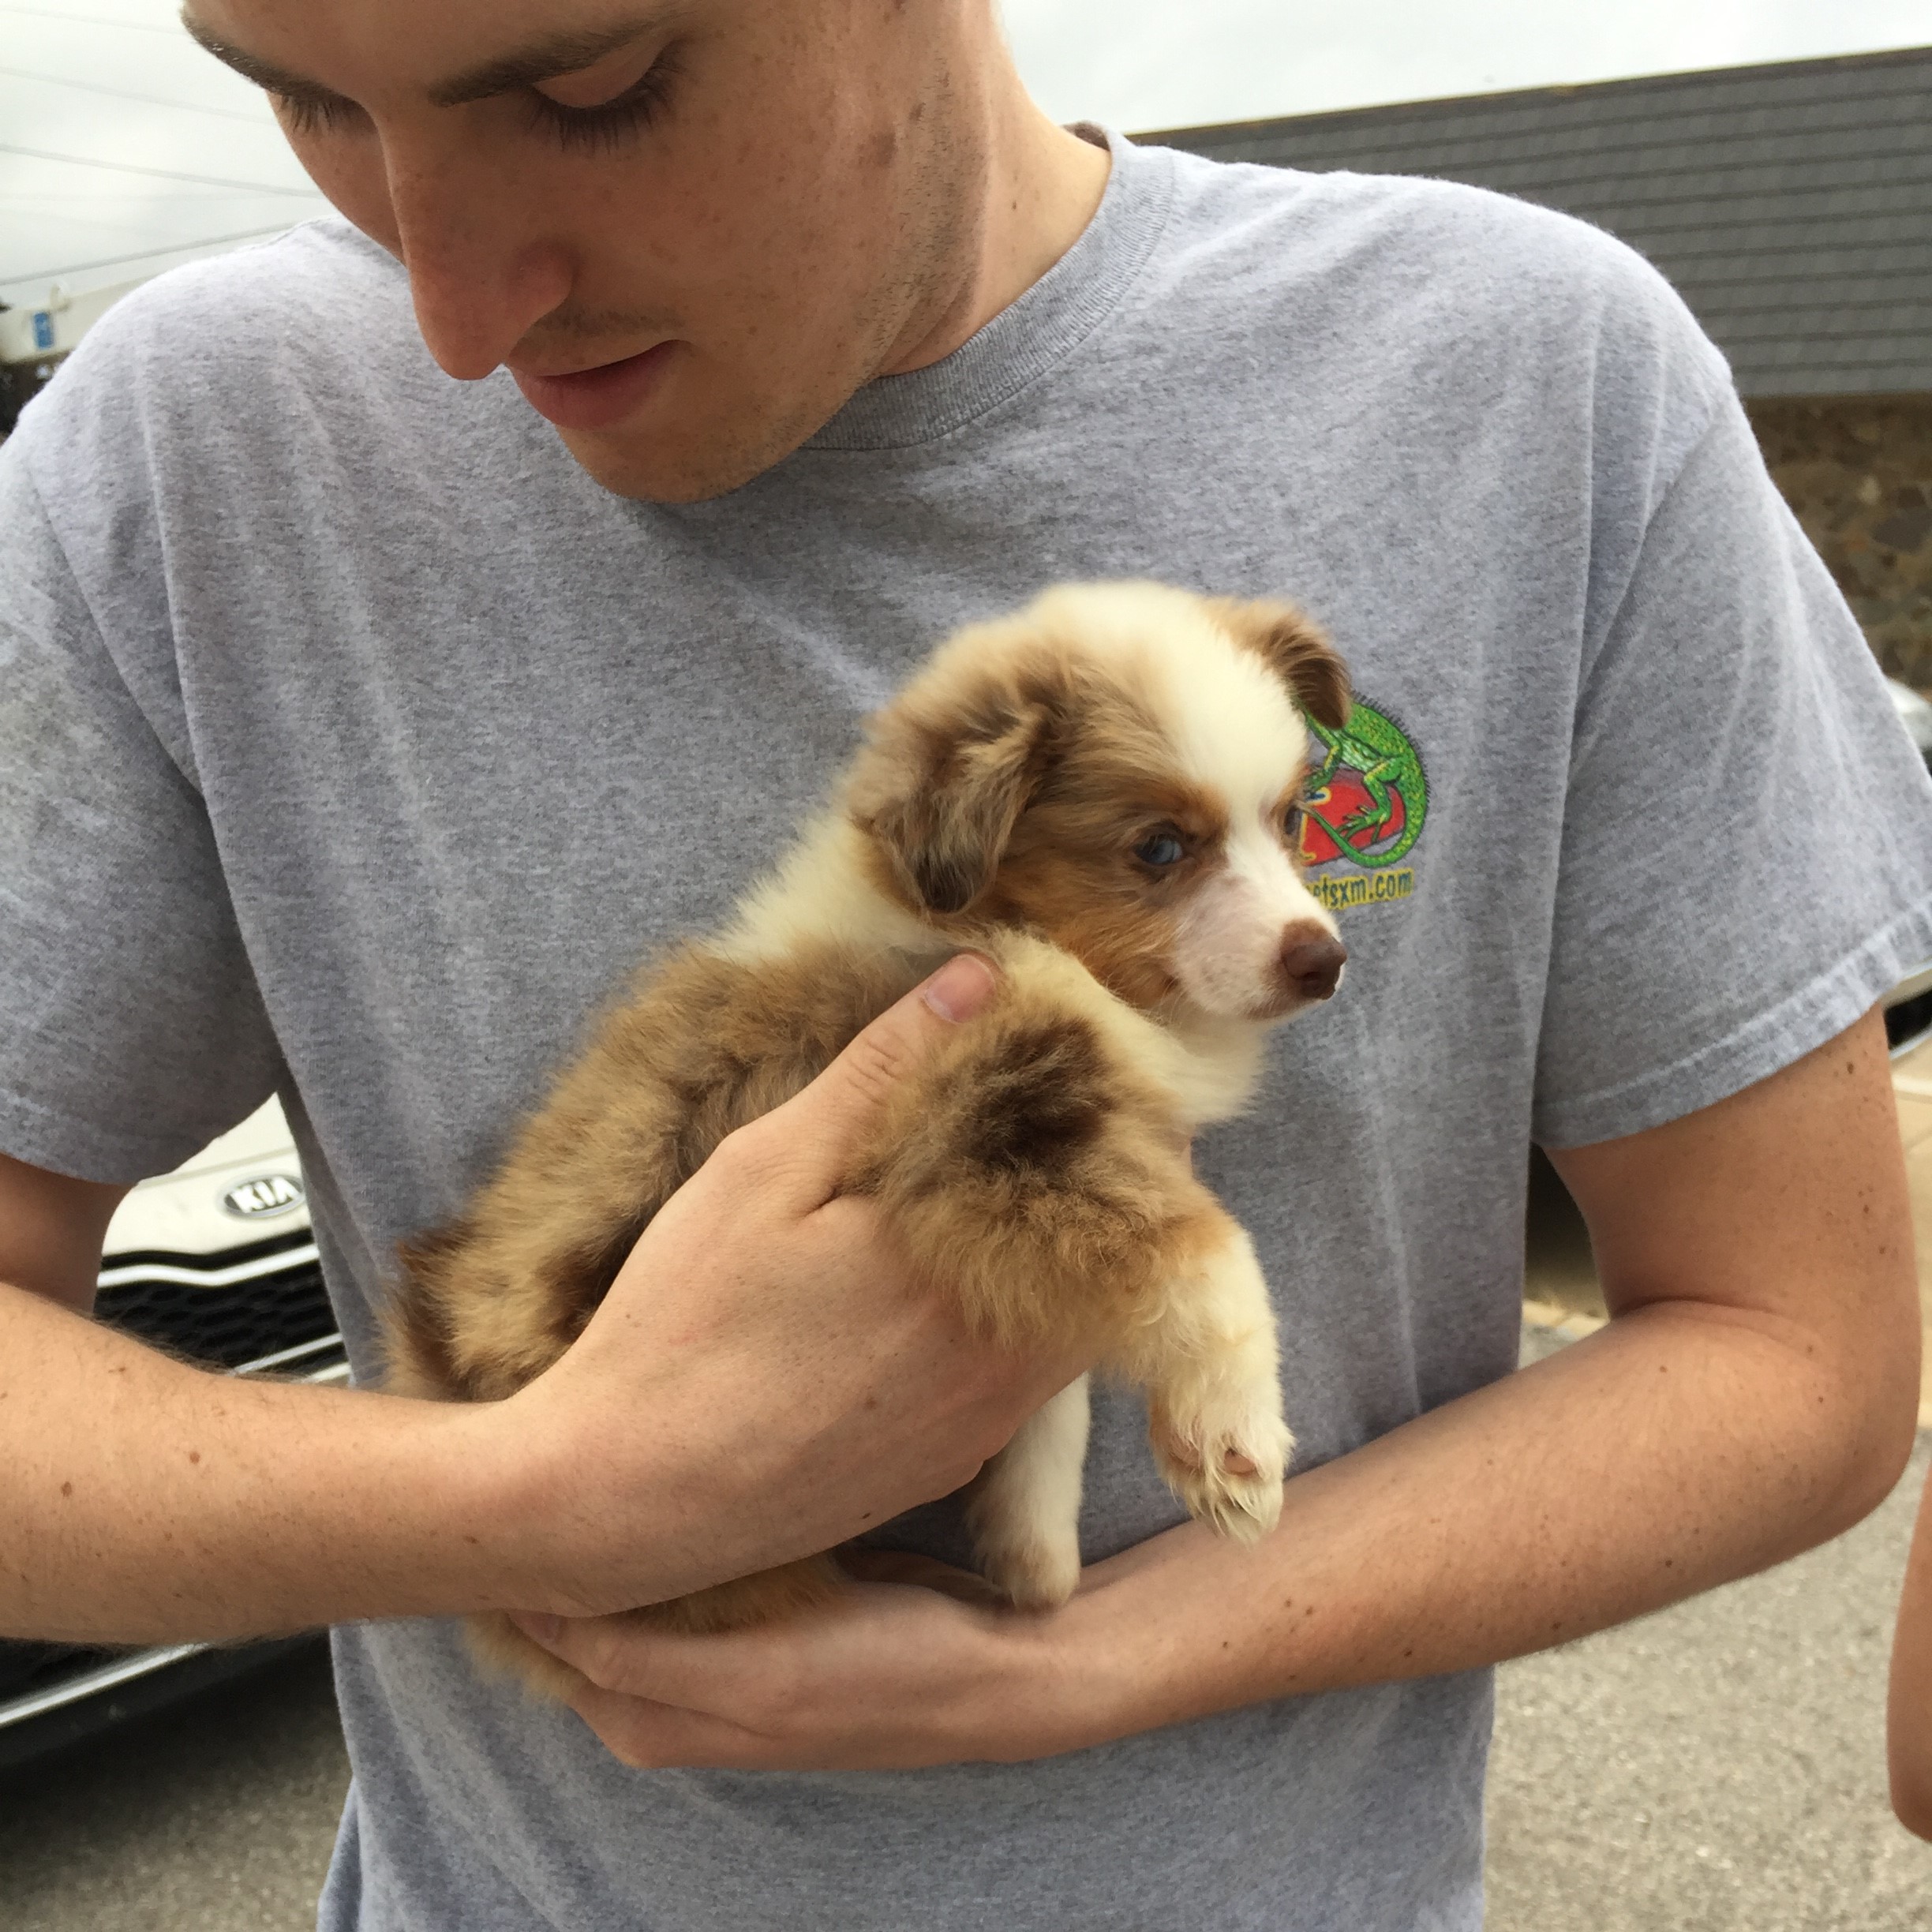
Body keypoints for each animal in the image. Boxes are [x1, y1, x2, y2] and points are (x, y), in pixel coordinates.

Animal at [384, 579, 1352, 1700]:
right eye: (1159, 847)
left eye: (1290, 818)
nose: (1322, 960)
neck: (999, 934)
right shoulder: (992, 1128)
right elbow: (1209, 1257)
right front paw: (1234, 1445)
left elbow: (1050, 1387)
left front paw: (1033, 1553)